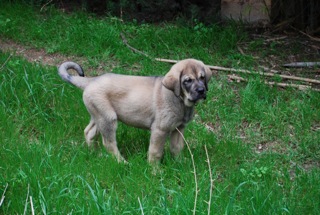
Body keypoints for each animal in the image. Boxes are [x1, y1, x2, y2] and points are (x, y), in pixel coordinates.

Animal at [58, 58, 212, 163]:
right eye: (187, 80)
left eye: (202, 77)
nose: (201, 91)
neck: (180, 100)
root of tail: (91, 81)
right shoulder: (160, 129)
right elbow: (155, 151)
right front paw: (155, 171)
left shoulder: (179, 128)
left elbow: (177, 147)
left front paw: (179, 163)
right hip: (108, 119)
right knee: (109, 143)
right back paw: (121, 162)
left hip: (99, 115)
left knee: (89, 132)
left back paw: (94, 153)